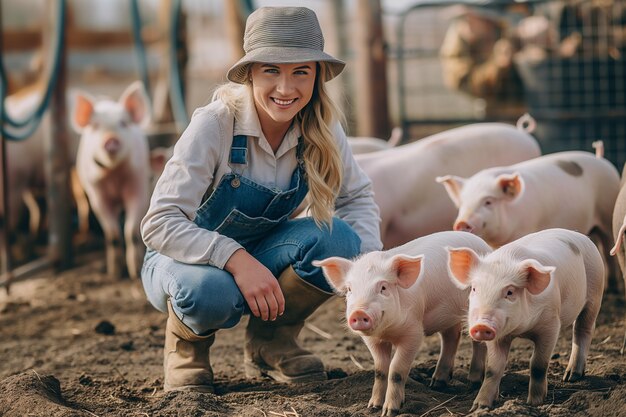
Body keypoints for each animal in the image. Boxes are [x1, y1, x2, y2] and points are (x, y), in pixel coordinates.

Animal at [70, 80, 152, 280]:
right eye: (95, 126)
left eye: (123, 123)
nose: (111, 140)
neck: (114, 175)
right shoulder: (96, 194)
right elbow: (112, 234)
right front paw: (114, 275)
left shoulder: (138, 186)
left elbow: (131, 230)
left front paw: (134, 274)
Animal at [314, 231, 490, 416]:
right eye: (349, 289)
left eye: (383, 288)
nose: (359, 312)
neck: (387, 331)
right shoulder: (373, 340)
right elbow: (380, 371)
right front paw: (373, 407)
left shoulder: (413, 333)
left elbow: (396, 371)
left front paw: (390, 411)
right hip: (446, 315)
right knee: (451, 337)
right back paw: (436, 383)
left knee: (478, 342)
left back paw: (473, 383)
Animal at [436, 149, 616, 286]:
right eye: (462, 203)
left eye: (488, 202)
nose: (461, 222)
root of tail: (600, 159)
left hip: (608, 214)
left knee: (607, 251)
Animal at [446, 228, 604, 410]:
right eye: (473, 289)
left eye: (509, 292)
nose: (481, 325)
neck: (521, 331)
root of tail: (580, 235)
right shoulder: (498, 335)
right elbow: (493, 369)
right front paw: (480, 406)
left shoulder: (551, 324)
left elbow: (537, 365)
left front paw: (534, 403)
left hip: (595, 293)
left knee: (583, 329)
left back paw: (571, 377)